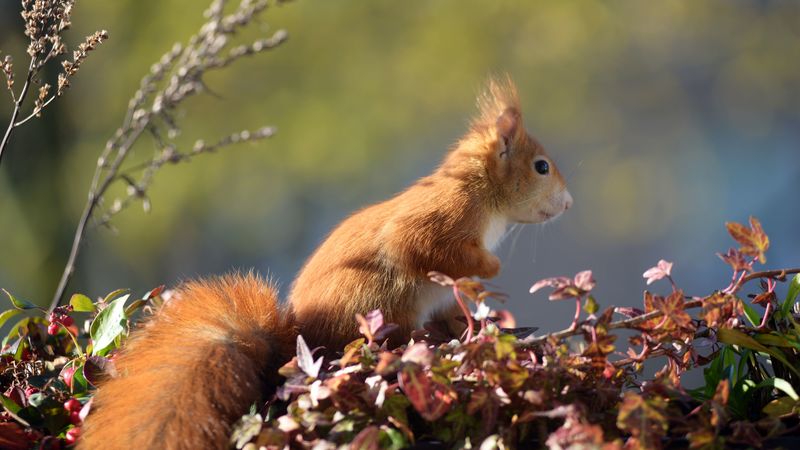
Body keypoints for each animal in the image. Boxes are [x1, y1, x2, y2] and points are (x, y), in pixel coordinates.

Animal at [78, 77, 572, 450]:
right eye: (542, 167)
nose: (569, 204)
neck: (484, 195)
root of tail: (295, 341)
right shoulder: (443, 216)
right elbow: (418, 247)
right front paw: (491, 269)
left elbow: (456, 301)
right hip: (380, 307)